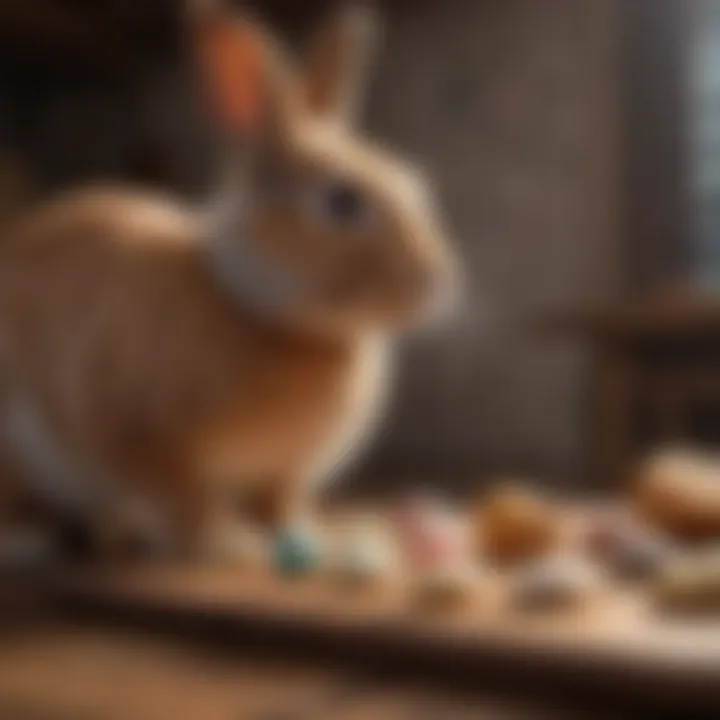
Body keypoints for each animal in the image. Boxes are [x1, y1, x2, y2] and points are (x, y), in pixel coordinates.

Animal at [0, 2, 458, 560]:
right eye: (342, 202)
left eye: (412, 184)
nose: (435, 282)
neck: (259, 309)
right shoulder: (144, 437)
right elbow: (185, 499)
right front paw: (230, 544)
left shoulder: (282, 470)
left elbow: (279, 502)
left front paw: (311, 535)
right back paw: (29, 540)